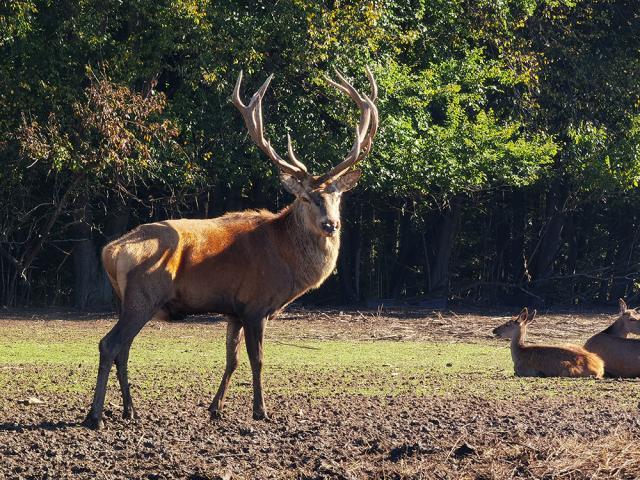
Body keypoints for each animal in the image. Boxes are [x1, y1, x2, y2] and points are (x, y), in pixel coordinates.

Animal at [82, 66, 378, 428]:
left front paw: (215, 408)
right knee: (109, 344)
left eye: (338, 196)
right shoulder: (255, 305)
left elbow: (231, 359)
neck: (287, 261)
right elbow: (257, 360)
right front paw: (261, 410)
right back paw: (95, 415)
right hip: (143, 295)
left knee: (123, 349)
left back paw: (130, 411)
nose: (330, 225)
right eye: (306, 197)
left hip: (127, 301)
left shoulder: (234, 309)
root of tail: (110, 251)